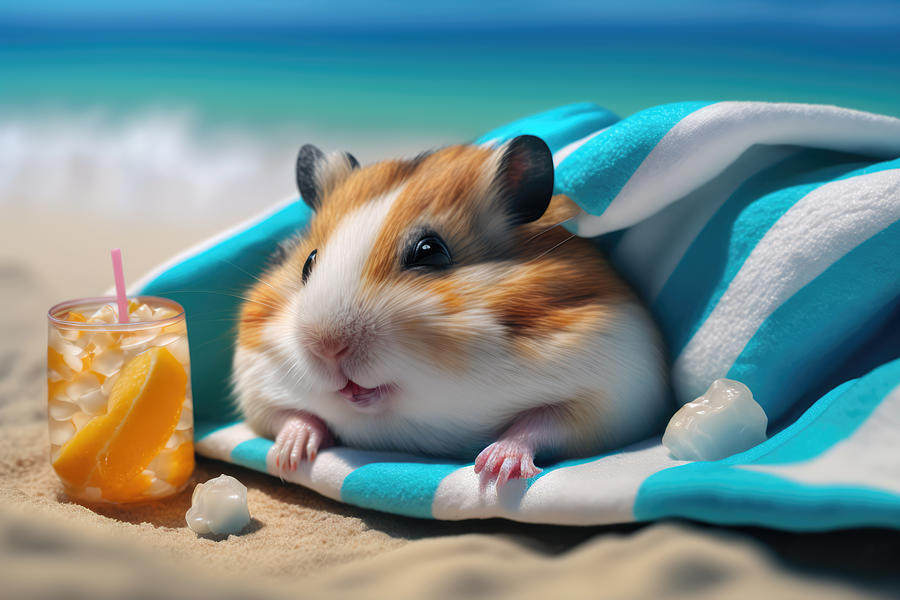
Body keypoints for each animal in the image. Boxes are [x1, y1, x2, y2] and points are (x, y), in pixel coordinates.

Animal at [232, 135, 669, 486]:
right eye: (308, 263)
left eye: (430, 252)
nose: (327, 348)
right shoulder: (255, 384)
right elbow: (287, 416)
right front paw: (286, 458)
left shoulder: (613, 394)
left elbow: (542, 421)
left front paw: (492, 471)